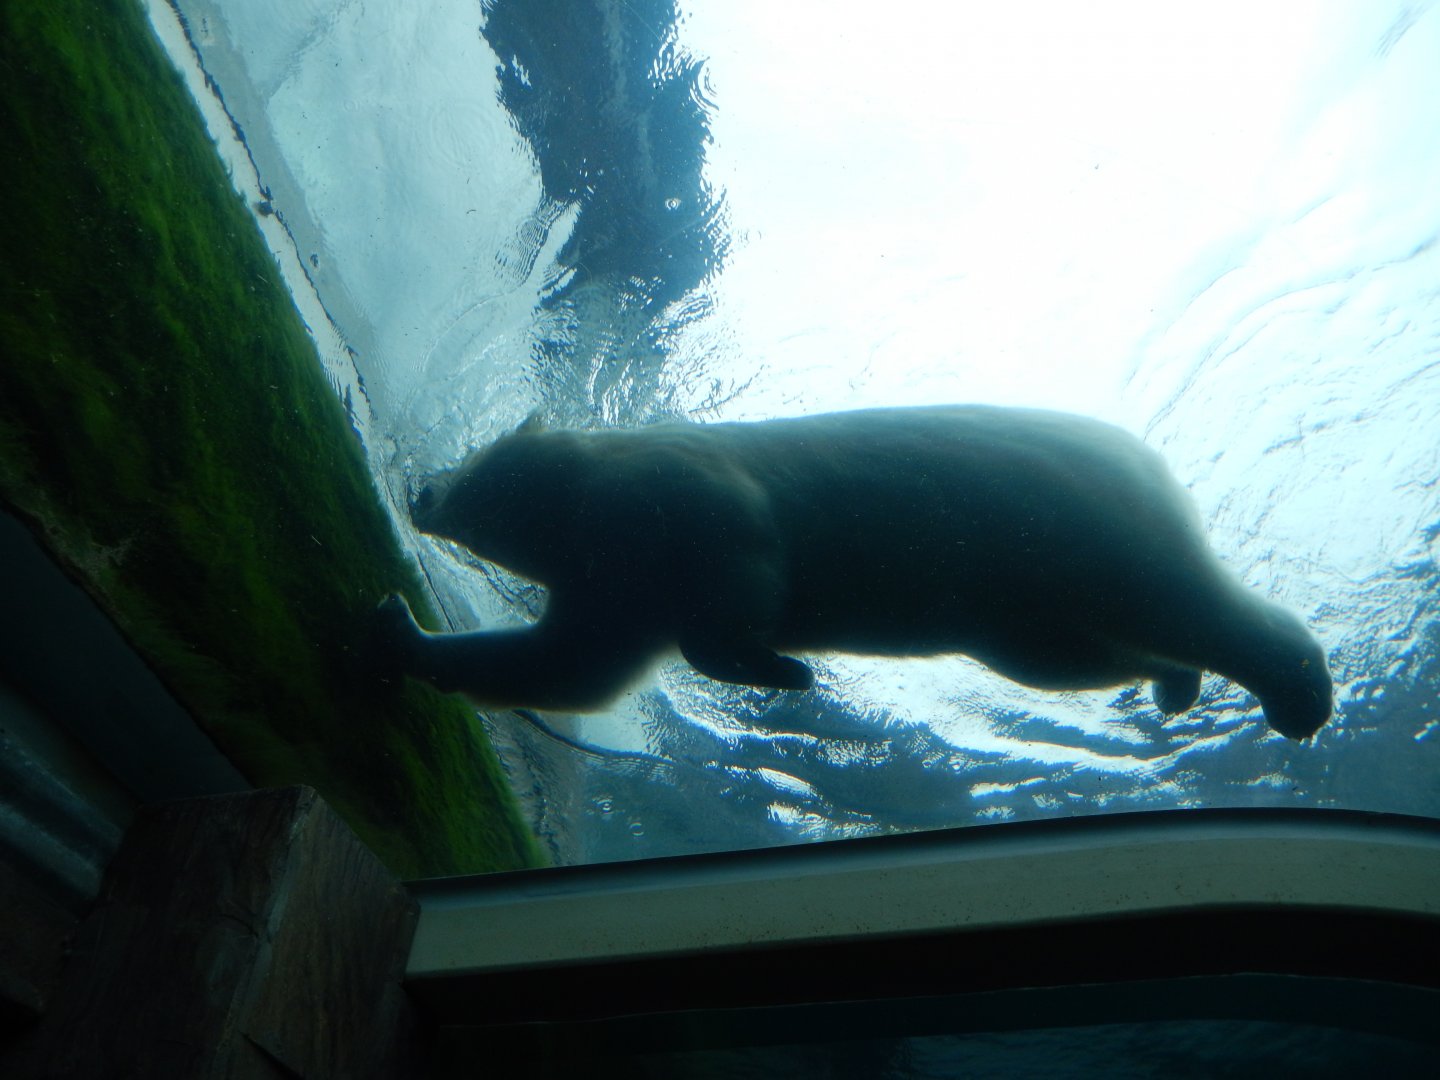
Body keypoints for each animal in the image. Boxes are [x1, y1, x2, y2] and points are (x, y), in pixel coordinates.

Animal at [377, 405, 1333, 740]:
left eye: (473, 460)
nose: (420, 489)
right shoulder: (613, 582)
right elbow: (570, 664)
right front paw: (397, 630)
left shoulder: (673, 495)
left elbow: (738, 580)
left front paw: (787, 670)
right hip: (1023, 607)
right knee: (1078, 654)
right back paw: (1174, 685)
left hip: (1071, 520)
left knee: (1179, 600)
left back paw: (1297, 692)